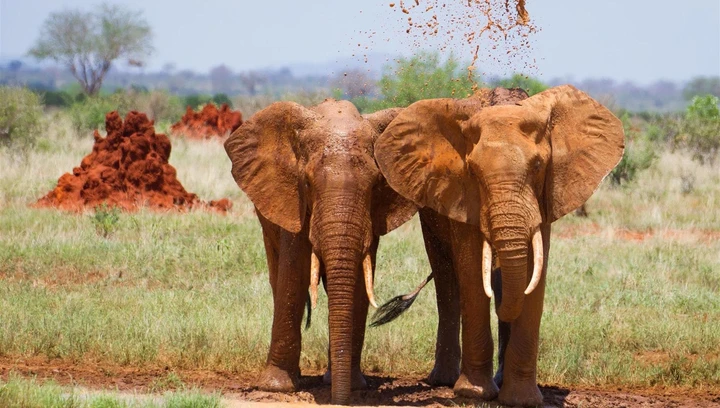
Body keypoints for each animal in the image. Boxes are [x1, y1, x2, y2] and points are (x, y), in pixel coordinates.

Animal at [224, 99, 418, 405]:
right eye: (307, 183)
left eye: (377, 185)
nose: (340, 400)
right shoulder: (292, 202)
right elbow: (294, 275)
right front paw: (276, 388)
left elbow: (358, 282)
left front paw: (354, 386)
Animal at [373, 85, 625, 406]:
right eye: (472, 171)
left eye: (539, 166)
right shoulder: (461, 195)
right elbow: (471, 273)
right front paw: (472, 394)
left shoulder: (545, 197)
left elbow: (533, 275)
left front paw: (522, 400)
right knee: (447, 280)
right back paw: (444, 380)